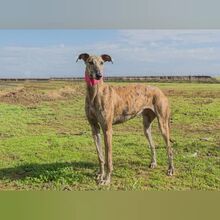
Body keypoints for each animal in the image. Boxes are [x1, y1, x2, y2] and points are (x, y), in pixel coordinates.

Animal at [76, 53, 174, 186]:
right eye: (90, 62)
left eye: (102, 63)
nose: (99, 75)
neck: (95, 93)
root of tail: (159, 90)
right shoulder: (94, 128)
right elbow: (100, 156)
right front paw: (100, 174)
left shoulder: (107, 130)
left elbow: (108, 158)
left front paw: (106, 179)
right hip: (146, 126)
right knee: (152, 144)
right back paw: (153, 163)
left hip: (163, 124)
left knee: (169, 148)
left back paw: (170, 169)